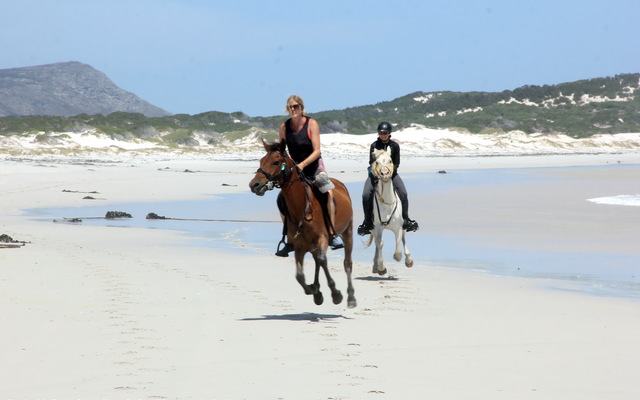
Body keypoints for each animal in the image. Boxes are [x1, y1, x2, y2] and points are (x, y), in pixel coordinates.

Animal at [248, 140, 357, 308]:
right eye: (261, 161)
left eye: (276, 162)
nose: (254, 185)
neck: (302, 207)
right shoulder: (299, 246)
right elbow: (299, 275)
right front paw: (314, 291)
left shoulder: (322, 238)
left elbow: (323, 260)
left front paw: (336, 294)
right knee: (317, 261)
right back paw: (317, 290)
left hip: (348, 232)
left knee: (347, 263)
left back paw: (350, 297)